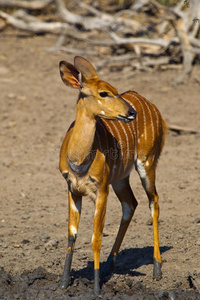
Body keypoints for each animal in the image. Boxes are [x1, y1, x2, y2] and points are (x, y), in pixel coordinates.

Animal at [58, 56, 167, 296]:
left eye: (116, 90)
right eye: (104, 93)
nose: (131, 112)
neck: (79, 159)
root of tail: (153, 107)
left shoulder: (101, 190)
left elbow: (96, 238)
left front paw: (97, 289)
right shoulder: (72, 190)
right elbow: (72, 233)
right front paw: (62, 283)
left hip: (146, 162)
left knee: (153, 201)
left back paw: (157, 268)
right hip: (120, 178)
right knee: (131, 204)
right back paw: (110, 264)